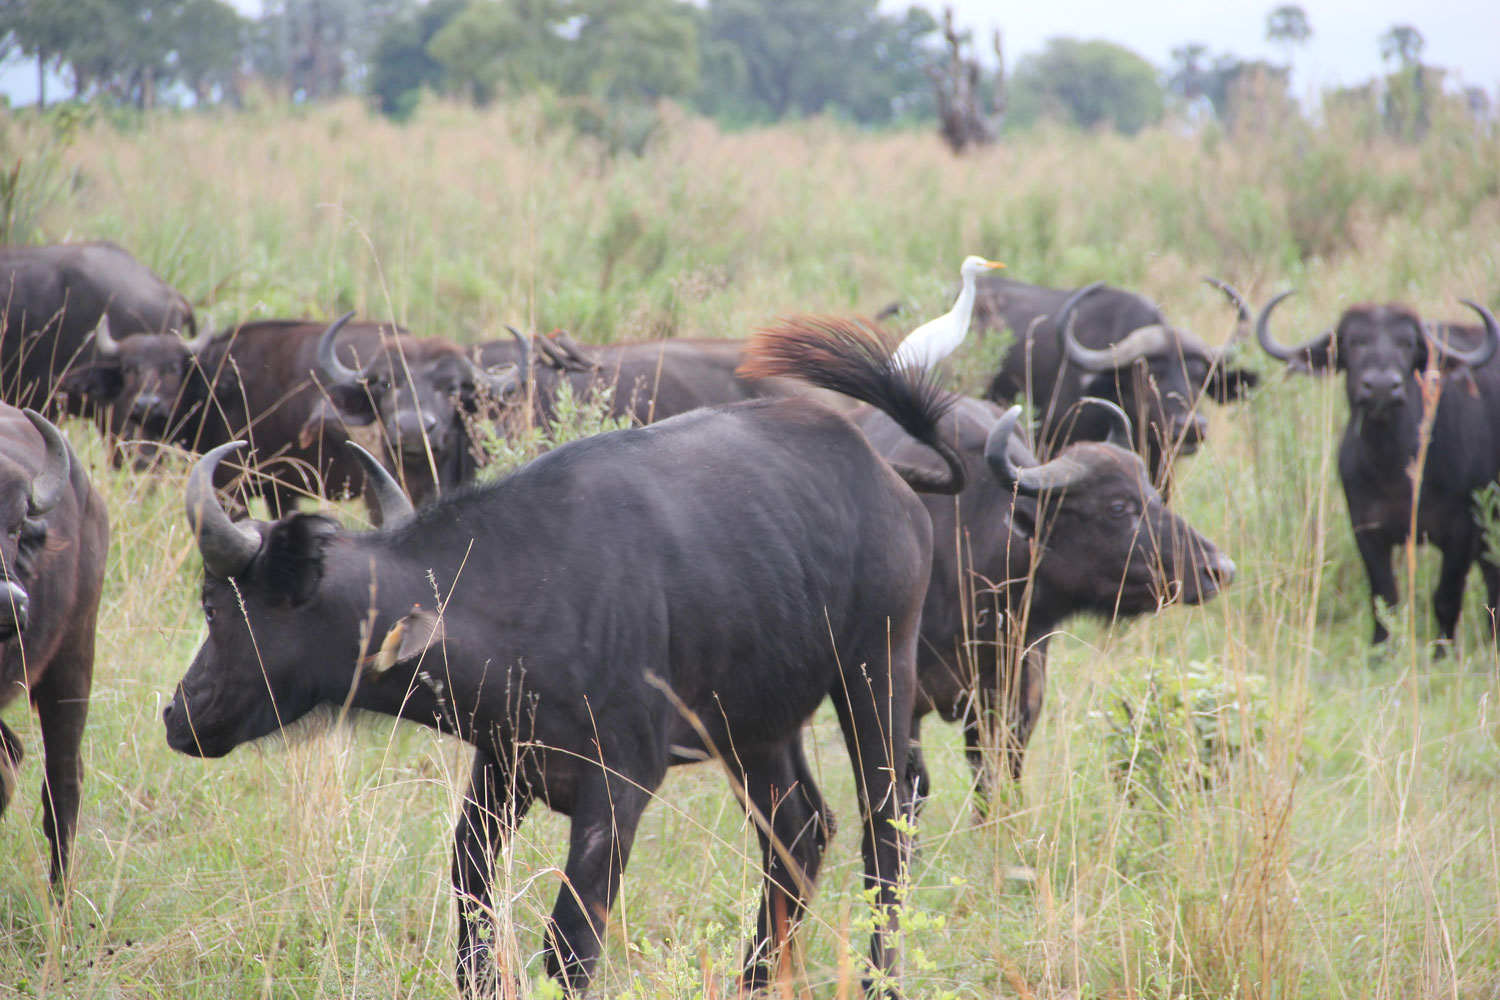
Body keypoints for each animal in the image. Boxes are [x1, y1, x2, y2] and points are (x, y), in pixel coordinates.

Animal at [163, 315, 961, 995]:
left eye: (213, 604)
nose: (178, 712)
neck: (524, 594)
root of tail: (890, 478)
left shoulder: (620, 790)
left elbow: (570, 941)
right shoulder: (500, 769)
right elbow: (471, 895)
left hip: (875, 672)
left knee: (886, 829)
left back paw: (882, 979)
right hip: (756, 728)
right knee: (798, 830)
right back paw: (753, 981)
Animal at [857, 396, 1235, 801]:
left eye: (1153, 496)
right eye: (1117, 507)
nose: (1218, 568)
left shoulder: (1015, 698)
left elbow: (996, 779)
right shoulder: (900, 700)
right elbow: (913, 784)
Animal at [1256, 292, 1500, 649]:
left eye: (1408, 343)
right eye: (1353, 341)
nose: (1383, 387)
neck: (1393, 470)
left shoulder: (1462, 533)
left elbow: (1445, 599)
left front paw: (1441, 653)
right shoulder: (1367, 531)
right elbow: (1384, 599)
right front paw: (1380, 651)